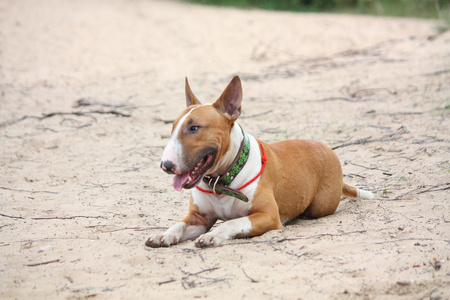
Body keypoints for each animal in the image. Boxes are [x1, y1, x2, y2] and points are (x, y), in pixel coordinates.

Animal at [146, 75, 374, 248]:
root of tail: (328, 149)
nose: (165, 165)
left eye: (194, 128)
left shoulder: (268, 215)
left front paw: (212, 235)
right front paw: (163, 235)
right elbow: (178, 225)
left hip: (320, 206)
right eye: (172, 127)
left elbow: (232, 223)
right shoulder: (198, 218)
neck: (222, 180)